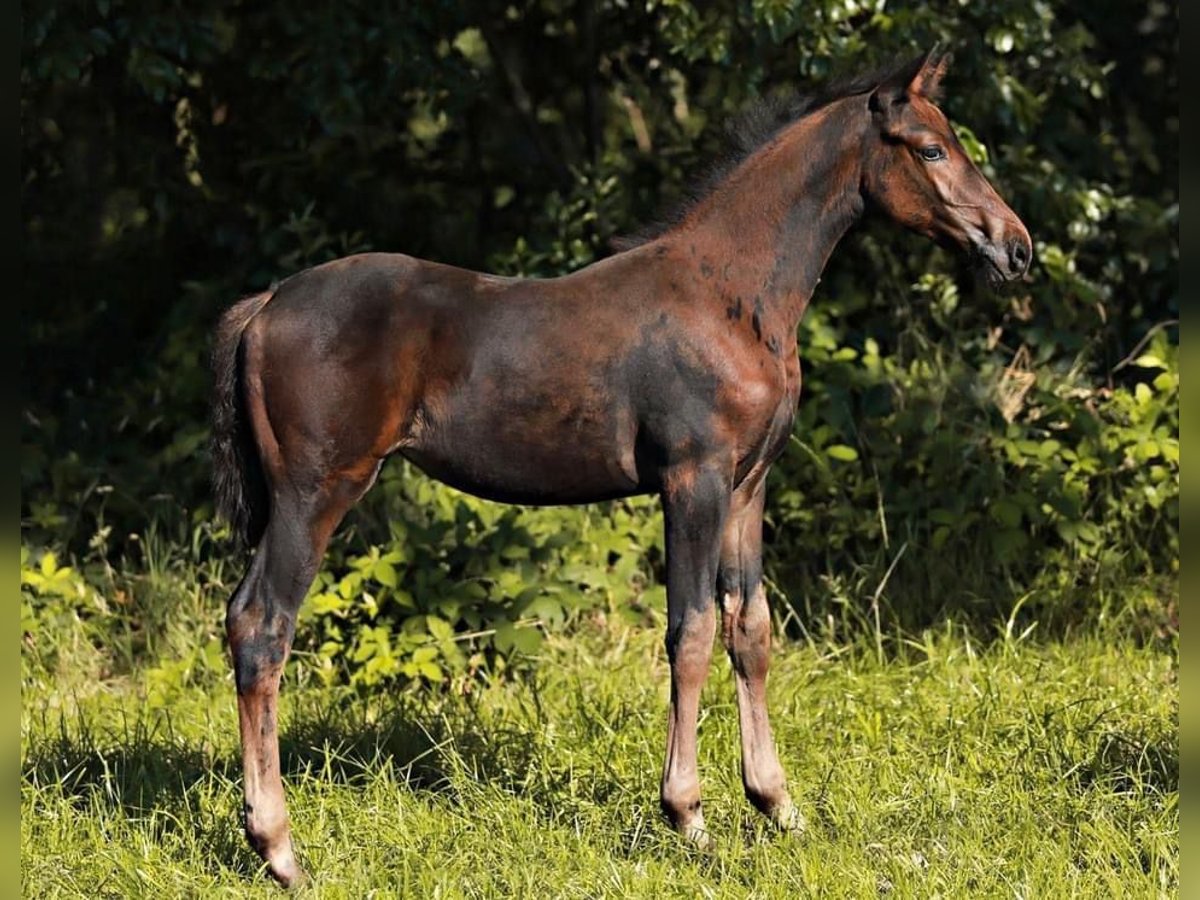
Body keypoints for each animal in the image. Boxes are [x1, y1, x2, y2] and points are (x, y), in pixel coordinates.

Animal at [208, 49, 1032, 888]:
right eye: (930, 149)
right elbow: (691, 631)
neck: (731, 293)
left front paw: (777, 805)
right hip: (315, 493)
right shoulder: (693, 480)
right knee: (261, 625)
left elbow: (752, 630)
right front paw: (689, 816)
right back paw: (279, 849)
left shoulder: (748, 486)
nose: (1015, 246)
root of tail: (265, 304)